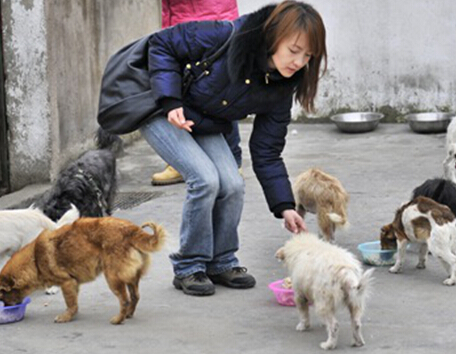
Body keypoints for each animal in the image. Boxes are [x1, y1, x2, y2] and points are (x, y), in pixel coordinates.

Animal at [0, 216, 166, 324]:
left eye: (2, 296)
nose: (6, 308)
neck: (34, 260)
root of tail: (131, 230)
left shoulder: (66, 283)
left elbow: (70, 303)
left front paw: (66, 317)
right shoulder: (74, 284)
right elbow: (74, 303)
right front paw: (72, 314)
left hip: (113, 278)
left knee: (124, 301)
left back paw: (119, 319)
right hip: (130, 277)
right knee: (135, 296)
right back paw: (128, 315)